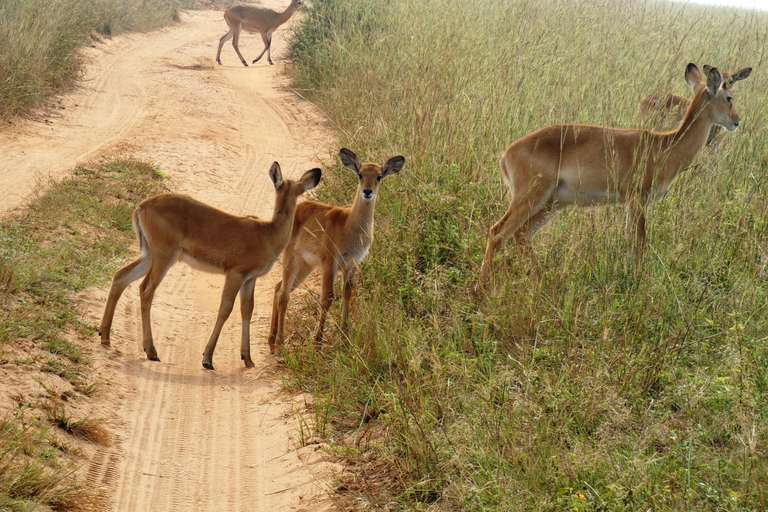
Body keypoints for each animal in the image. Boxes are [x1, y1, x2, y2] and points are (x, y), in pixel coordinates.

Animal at [99, 163, 320, 368]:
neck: (267, 234)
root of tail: (141, 206)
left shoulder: (250, 279)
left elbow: (247, 310)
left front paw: (248, 359)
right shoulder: (235, 274)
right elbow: (225, 309)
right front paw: (207, 359)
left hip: (148, 255)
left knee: (121, 276)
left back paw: (105, 337)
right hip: (164, 256)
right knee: (146, 289)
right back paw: (151, 351)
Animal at [268, 148, 404, 352]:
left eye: (379, 176)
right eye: (360, 174)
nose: (367, 192)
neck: (350, 225)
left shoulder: (351, 264)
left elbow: (348, 294)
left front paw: (344, 336)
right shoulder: (330, 263)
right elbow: (327, 298)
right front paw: (317, 341)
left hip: (305, 266)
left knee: (278, 289)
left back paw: (271, 342)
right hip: (292, 259)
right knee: (284, 295)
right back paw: (280, 344)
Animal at [476, 63, 748, 288]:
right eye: (729, 97)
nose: (737, 121)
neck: (664, 146)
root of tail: (507, 153)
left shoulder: (631, 203)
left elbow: (629, 239)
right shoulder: (638, 200)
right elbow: (639, 242)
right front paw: (638, 284)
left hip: (553, 203)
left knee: (522, 234)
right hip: (531, 198)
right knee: (497, 232)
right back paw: (482, 287)